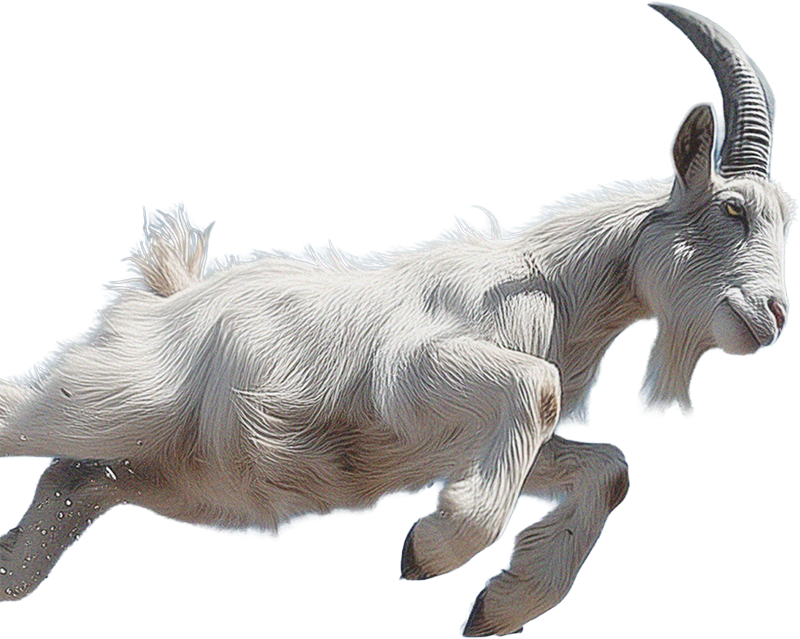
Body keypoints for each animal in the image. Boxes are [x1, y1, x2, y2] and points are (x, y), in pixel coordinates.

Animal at [0, 2, 794, 636]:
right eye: (732, 208)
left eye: (786, 218)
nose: (772, 316)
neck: (555, 285)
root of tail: (156, 299)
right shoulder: (412, 376)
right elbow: (535, 388)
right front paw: (432, 548)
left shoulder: (461, 441)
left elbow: (608, 468)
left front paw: (499, 605)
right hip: (113, 394)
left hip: (138, 463)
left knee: (63, 487)